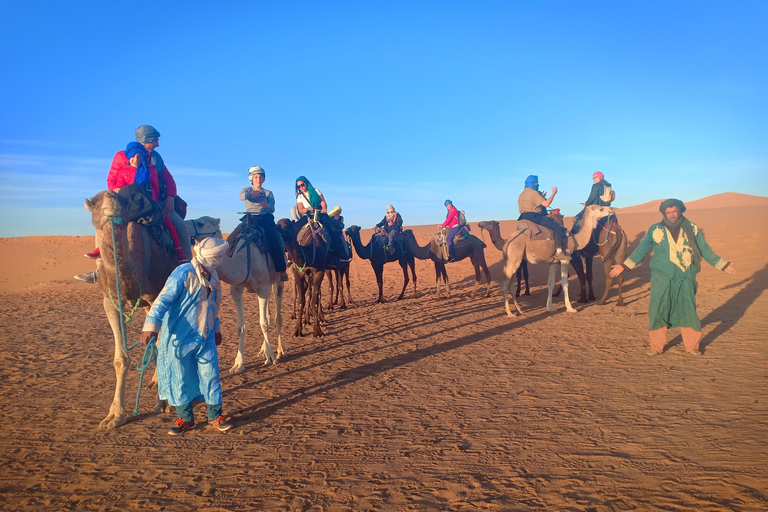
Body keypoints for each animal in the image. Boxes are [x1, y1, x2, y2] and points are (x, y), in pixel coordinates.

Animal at [195, 214, 284, 374]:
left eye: (201, 223)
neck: (243, 261)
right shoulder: (236, 289)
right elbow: (241, 327)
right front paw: (238, 363)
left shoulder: (262, 288)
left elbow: (264, 324)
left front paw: (271, 357)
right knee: (268, 315)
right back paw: (262, 349)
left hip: (278, 281)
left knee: (277, 317)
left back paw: (280, 351)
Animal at [480, 204, 612, 316]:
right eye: (601, 208)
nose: (611, 210)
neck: (576, 239)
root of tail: (508, 241)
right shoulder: (565, 259)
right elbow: (565, 283)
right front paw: (570, 308)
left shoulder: (553, 262)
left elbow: (551, 283)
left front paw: (551, 307)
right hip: (514, 260)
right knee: (504, 284)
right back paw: (510, 313)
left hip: (513, 261)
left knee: (510, 284)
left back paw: (519, 310)